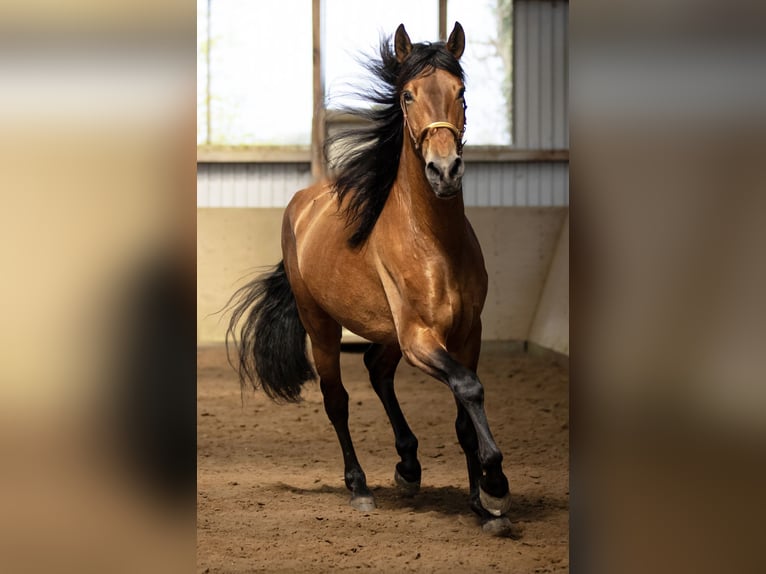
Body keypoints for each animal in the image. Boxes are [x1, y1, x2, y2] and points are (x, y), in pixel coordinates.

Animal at [228, 21, 516, 536]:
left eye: (461, 93)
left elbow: (465, 413)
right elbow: (468, 388)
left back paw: (408, 467)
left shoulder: (468, 333)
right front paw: (496, 485)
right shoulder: (421, 339)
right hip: (322, 327)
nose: (444, 170)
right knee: (337, 399)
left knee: (377, 370)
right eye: (406, 95)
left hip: (387, 332)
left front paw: (482, 506)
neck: (434, 241)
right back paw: (360, 487)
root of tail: (301, 204)